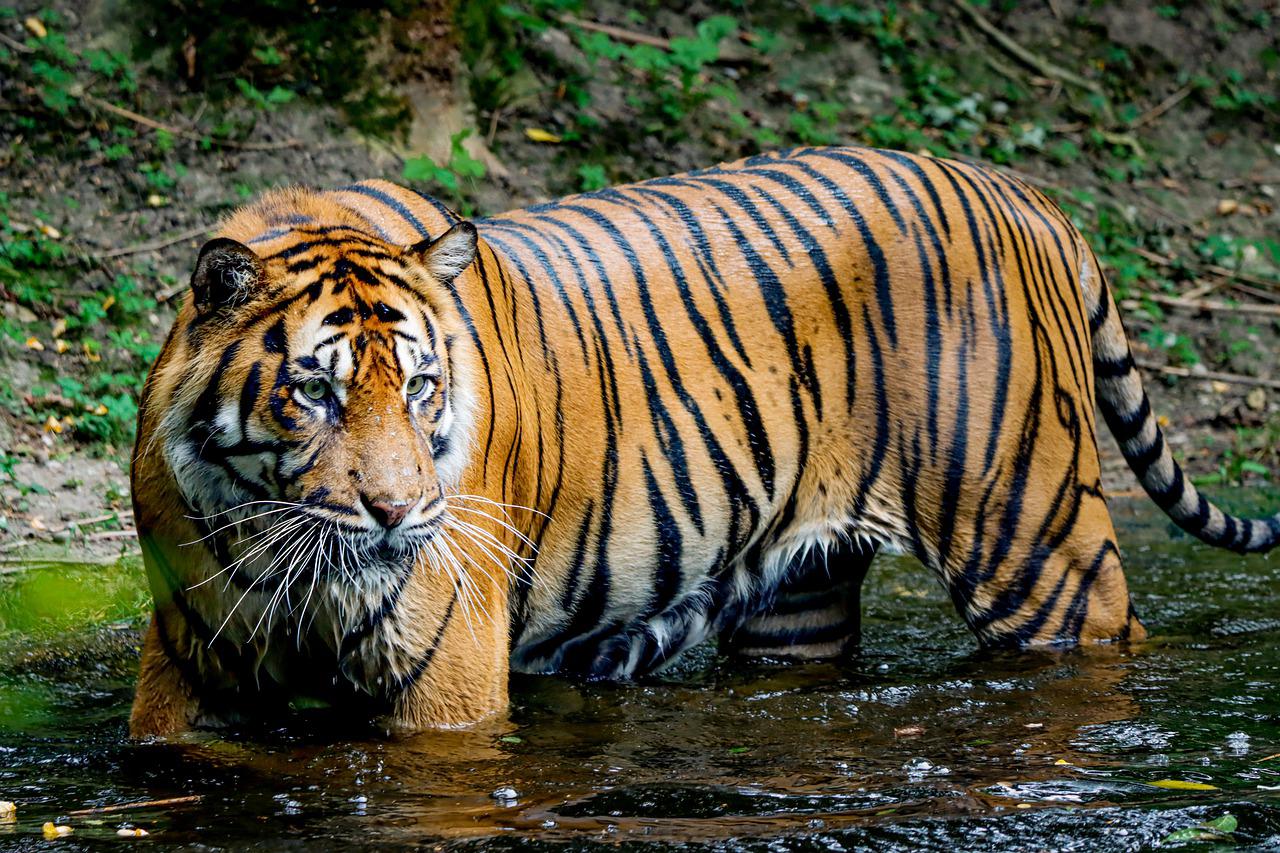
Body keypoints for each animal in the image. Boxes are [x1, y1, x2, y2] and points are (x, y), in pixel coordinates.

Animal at [127, 144, 1280, 732]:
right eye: (314, 394)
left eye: (419, 389)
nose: (399, 513)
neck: (265, 543)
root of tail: (1024, 192)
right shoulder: (186, 666)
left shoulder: (444, 679)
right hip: (796, 603)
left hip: (1037, 551)